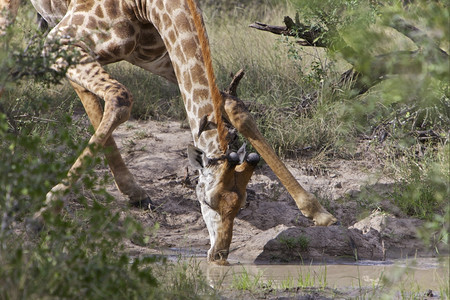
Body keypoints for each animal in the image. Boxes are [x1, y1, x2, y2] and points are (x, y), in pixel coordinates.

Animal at [1, 0, 336, 264]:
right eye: (207, 201)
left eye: (241, 204)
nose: (219, 255)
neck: (147, 7)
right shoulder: (62, 38)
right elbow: (121, 98)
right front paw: (41, 214)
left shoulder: (158, 56)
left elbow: (234, 108)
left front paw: (318, 211)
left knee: (83, 89)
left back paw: (135, 191)